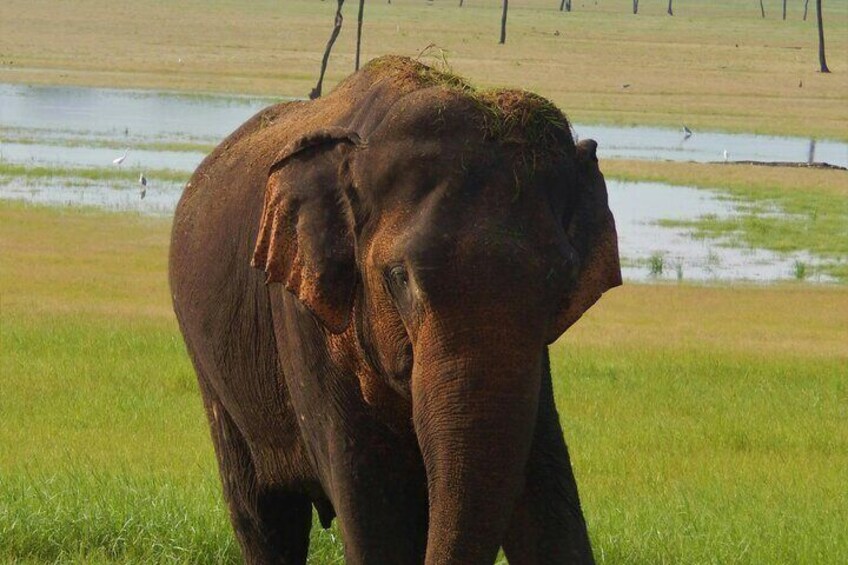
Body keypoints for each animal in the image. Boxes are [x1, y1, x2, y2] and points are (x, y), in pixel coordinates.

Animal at [171, 56, 624, 564]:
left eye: (561, 282)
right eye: (398, 277)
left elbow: (548, 499)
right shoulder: (301, 319)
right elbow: (375, 512)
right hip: (211, 370)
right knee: (264, 516)